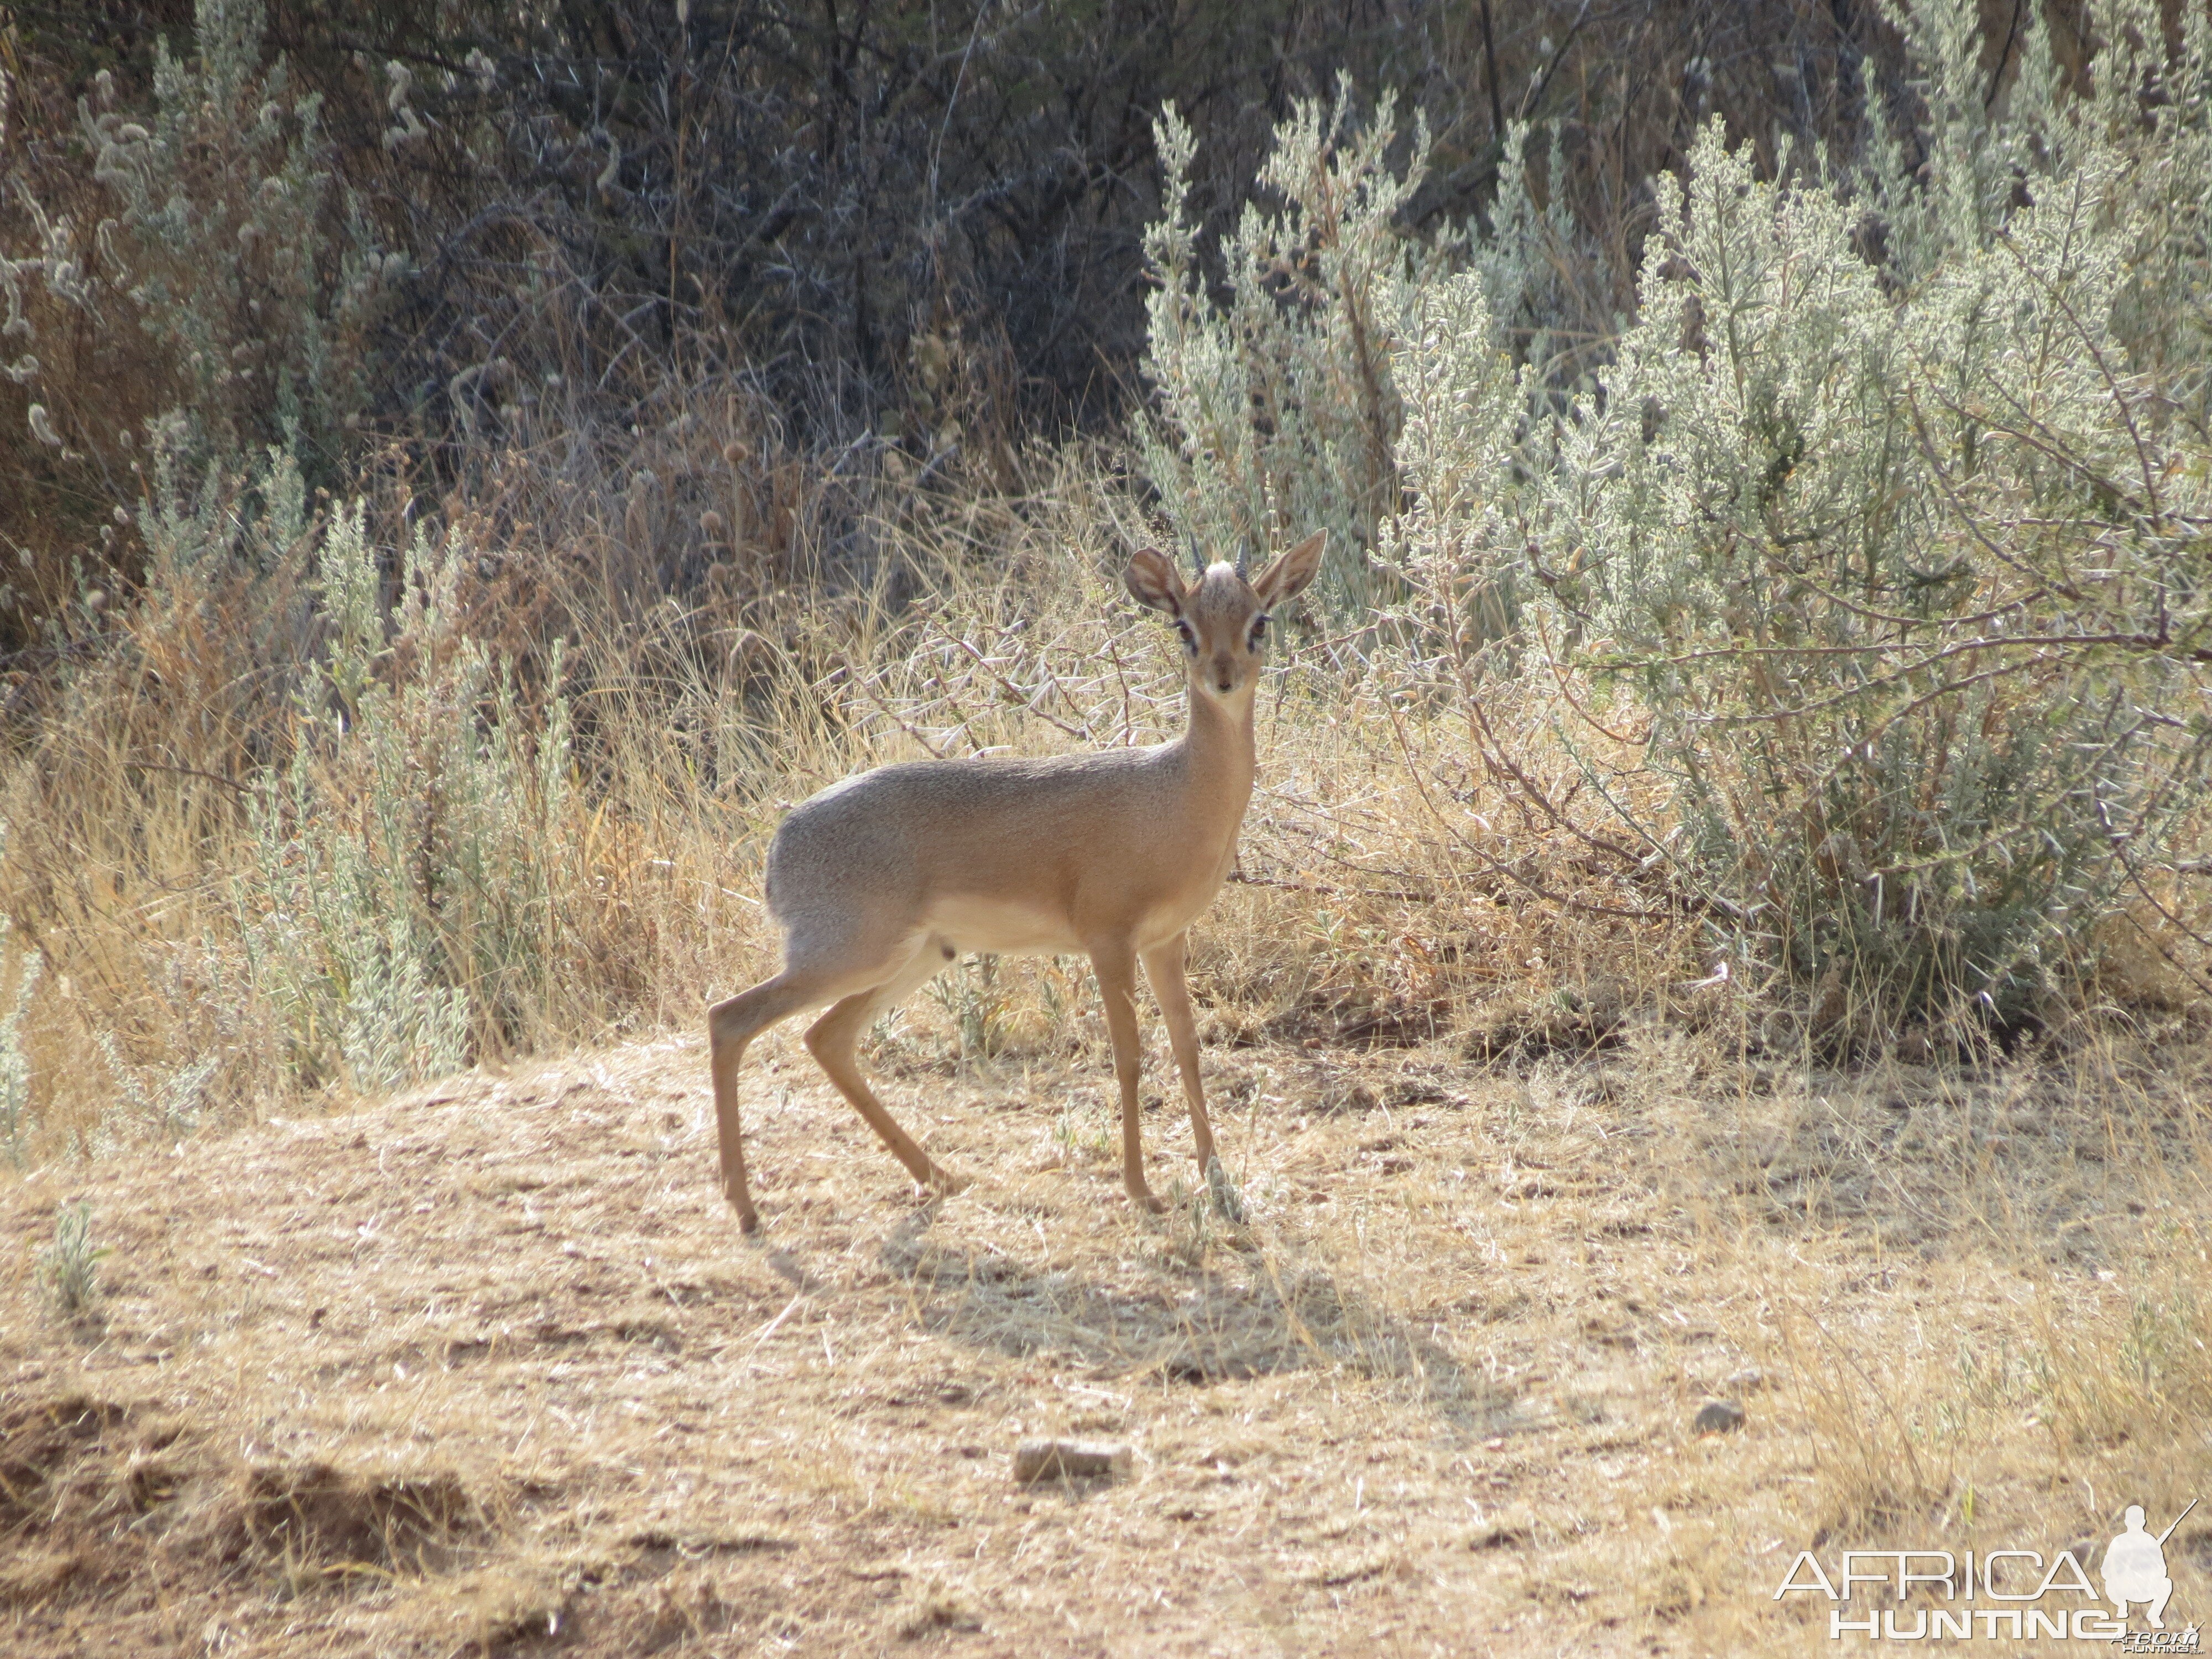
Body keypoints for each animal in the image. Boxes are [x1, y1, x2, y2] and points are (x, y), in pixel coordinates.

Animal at [717, 533, 1318, 1239]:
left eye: (1259, 622)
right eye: (1184, 627)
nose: (1223, 679)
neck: (1174, 794)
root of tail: (779, 846)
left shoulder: (1164, 941)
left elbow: (1187, 1048)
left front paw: (1218, 1183)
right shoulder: (1108, 941)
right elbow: (1128, 1054)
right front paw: (1141, 1191)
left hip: (912, 958)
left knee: (826, 1039)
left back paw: (937, 1177)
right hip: (847, 958)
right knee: (730, 1020)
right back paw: (745, 1207)